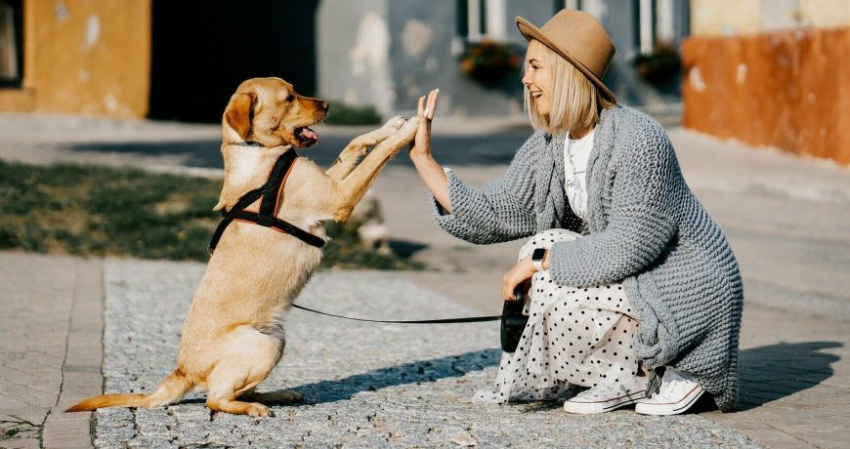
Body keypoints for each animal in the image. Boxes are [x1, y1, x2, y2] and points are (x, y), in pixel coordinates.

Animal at [68, 77, 420, 416]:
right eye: (289, 97)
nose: (328, 105)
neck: (260, 153)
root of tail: (183, 370)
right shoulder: (338, 197)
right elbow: (377, 156)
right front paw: (411, 129)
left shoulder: (331, 182)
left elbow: (354, 144)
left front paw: (391, 126)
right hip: (262, 345)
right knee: (215, 399)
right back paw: (253, 408)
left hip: (276, 339)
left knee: (237, 390)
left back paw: (276, 395)